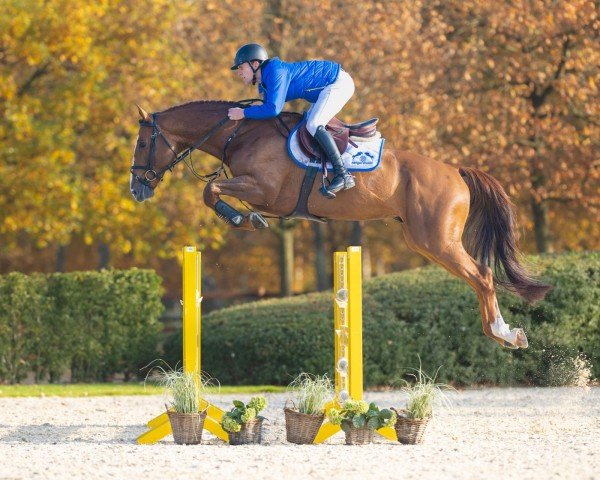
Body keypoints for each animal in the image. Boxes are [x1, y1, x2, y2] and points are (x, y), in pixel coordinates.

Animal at [129, 100, 552, 348]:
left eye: (142, 144)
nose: (137, 189)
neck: (240, 132)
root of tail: (456, 171)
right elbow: (213, 189)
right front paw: (241, 217)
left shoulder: (265, 190)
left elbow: (211, 189)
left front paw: (242, 218)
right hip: (424, 241)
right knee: (479, 277)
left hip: (437, 240)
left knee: (482, 275)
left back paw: (503, 333)